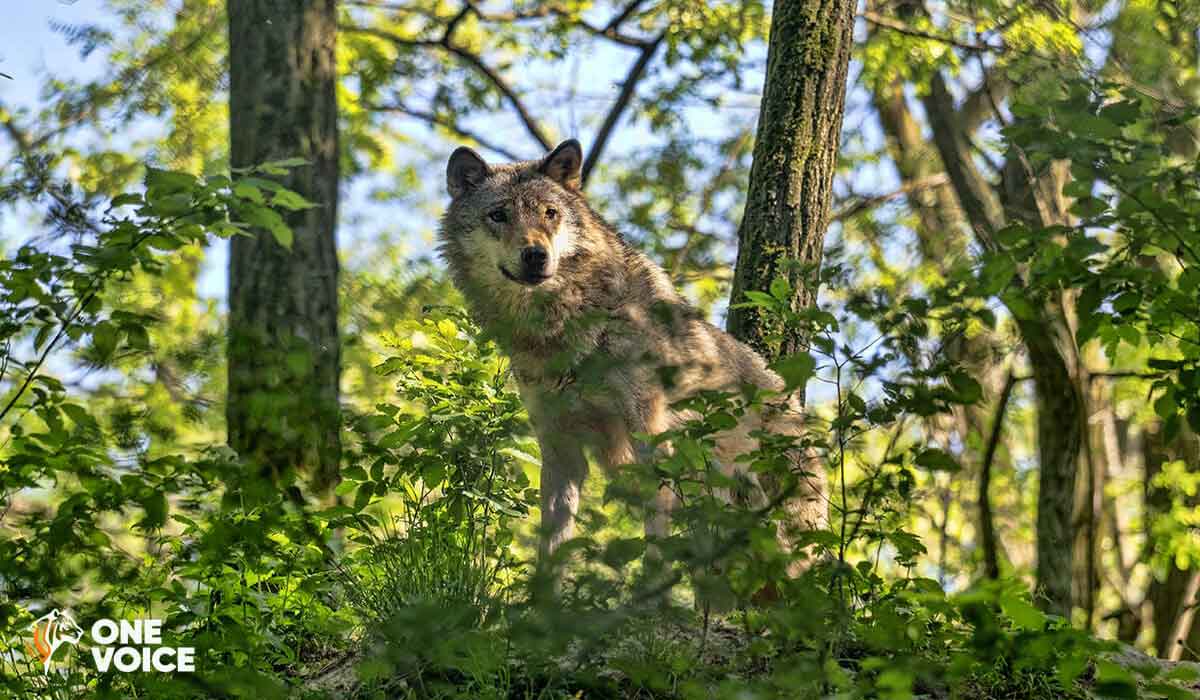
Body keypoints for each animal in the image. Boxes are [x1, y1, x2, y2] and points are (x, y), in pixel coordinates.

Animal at [441, 139, 825, 571]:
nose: (536, 255)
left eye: (550, 213)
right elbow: (552, 546)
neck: (565, 326)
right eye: (499, 215)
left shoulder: (651, 435)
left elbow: (655, 538)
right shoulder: (559, 447)